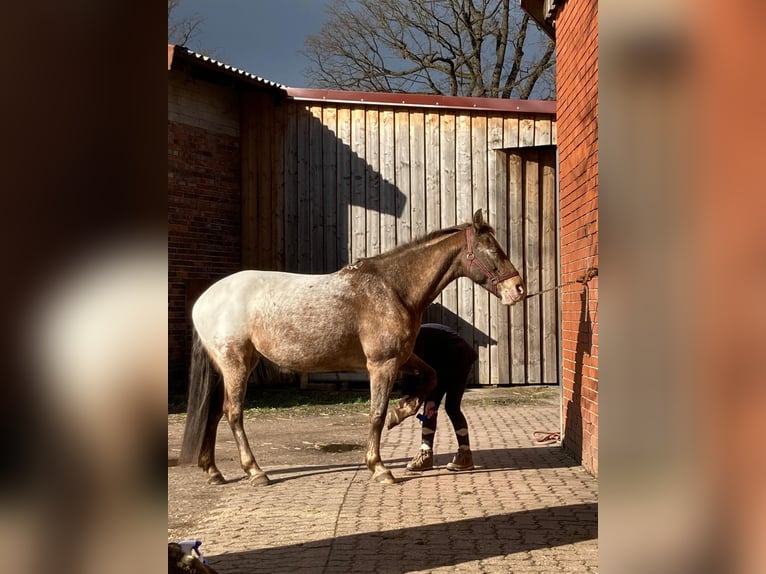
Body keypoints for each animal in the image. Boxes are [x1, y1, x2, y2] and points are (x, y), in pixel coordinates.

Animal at [181, 212, 528, 486]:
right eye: (492, 250)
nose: (518, 288)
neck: (392, 289)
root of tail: (205, 300)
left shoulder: (402, 358)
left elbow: (428, 378)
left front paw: (401, 411)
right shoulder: (382, 364)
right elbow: (376, 413)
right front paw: (379, 467)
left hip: (228, 367)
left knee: (214, 411)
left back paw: (213, 471)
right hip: (236, 364)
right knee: (233, 413)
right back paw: (255, 472)